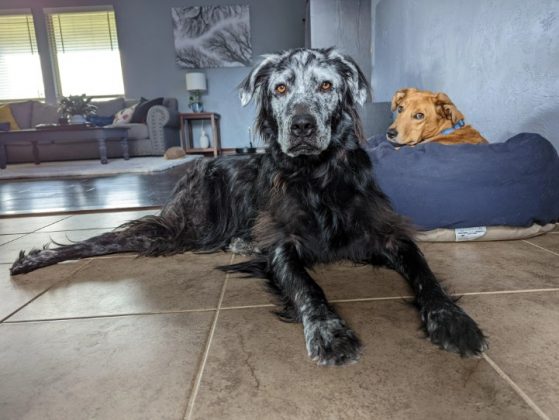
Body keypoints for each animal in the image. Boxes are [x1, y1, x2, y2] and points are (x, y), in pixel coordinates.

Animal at [10, 48, 488, 364]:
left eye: (327, 85)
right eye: (280, 88)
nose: (301, 126)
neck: (316, 176)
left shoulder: (387, 233)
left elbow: (425, 273)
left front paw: (452, 320)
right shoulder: (282, 244)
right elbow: (307, 287)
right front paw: (328, 330)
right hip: (186, 228)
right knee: (109, 239)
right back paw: (34, 258)